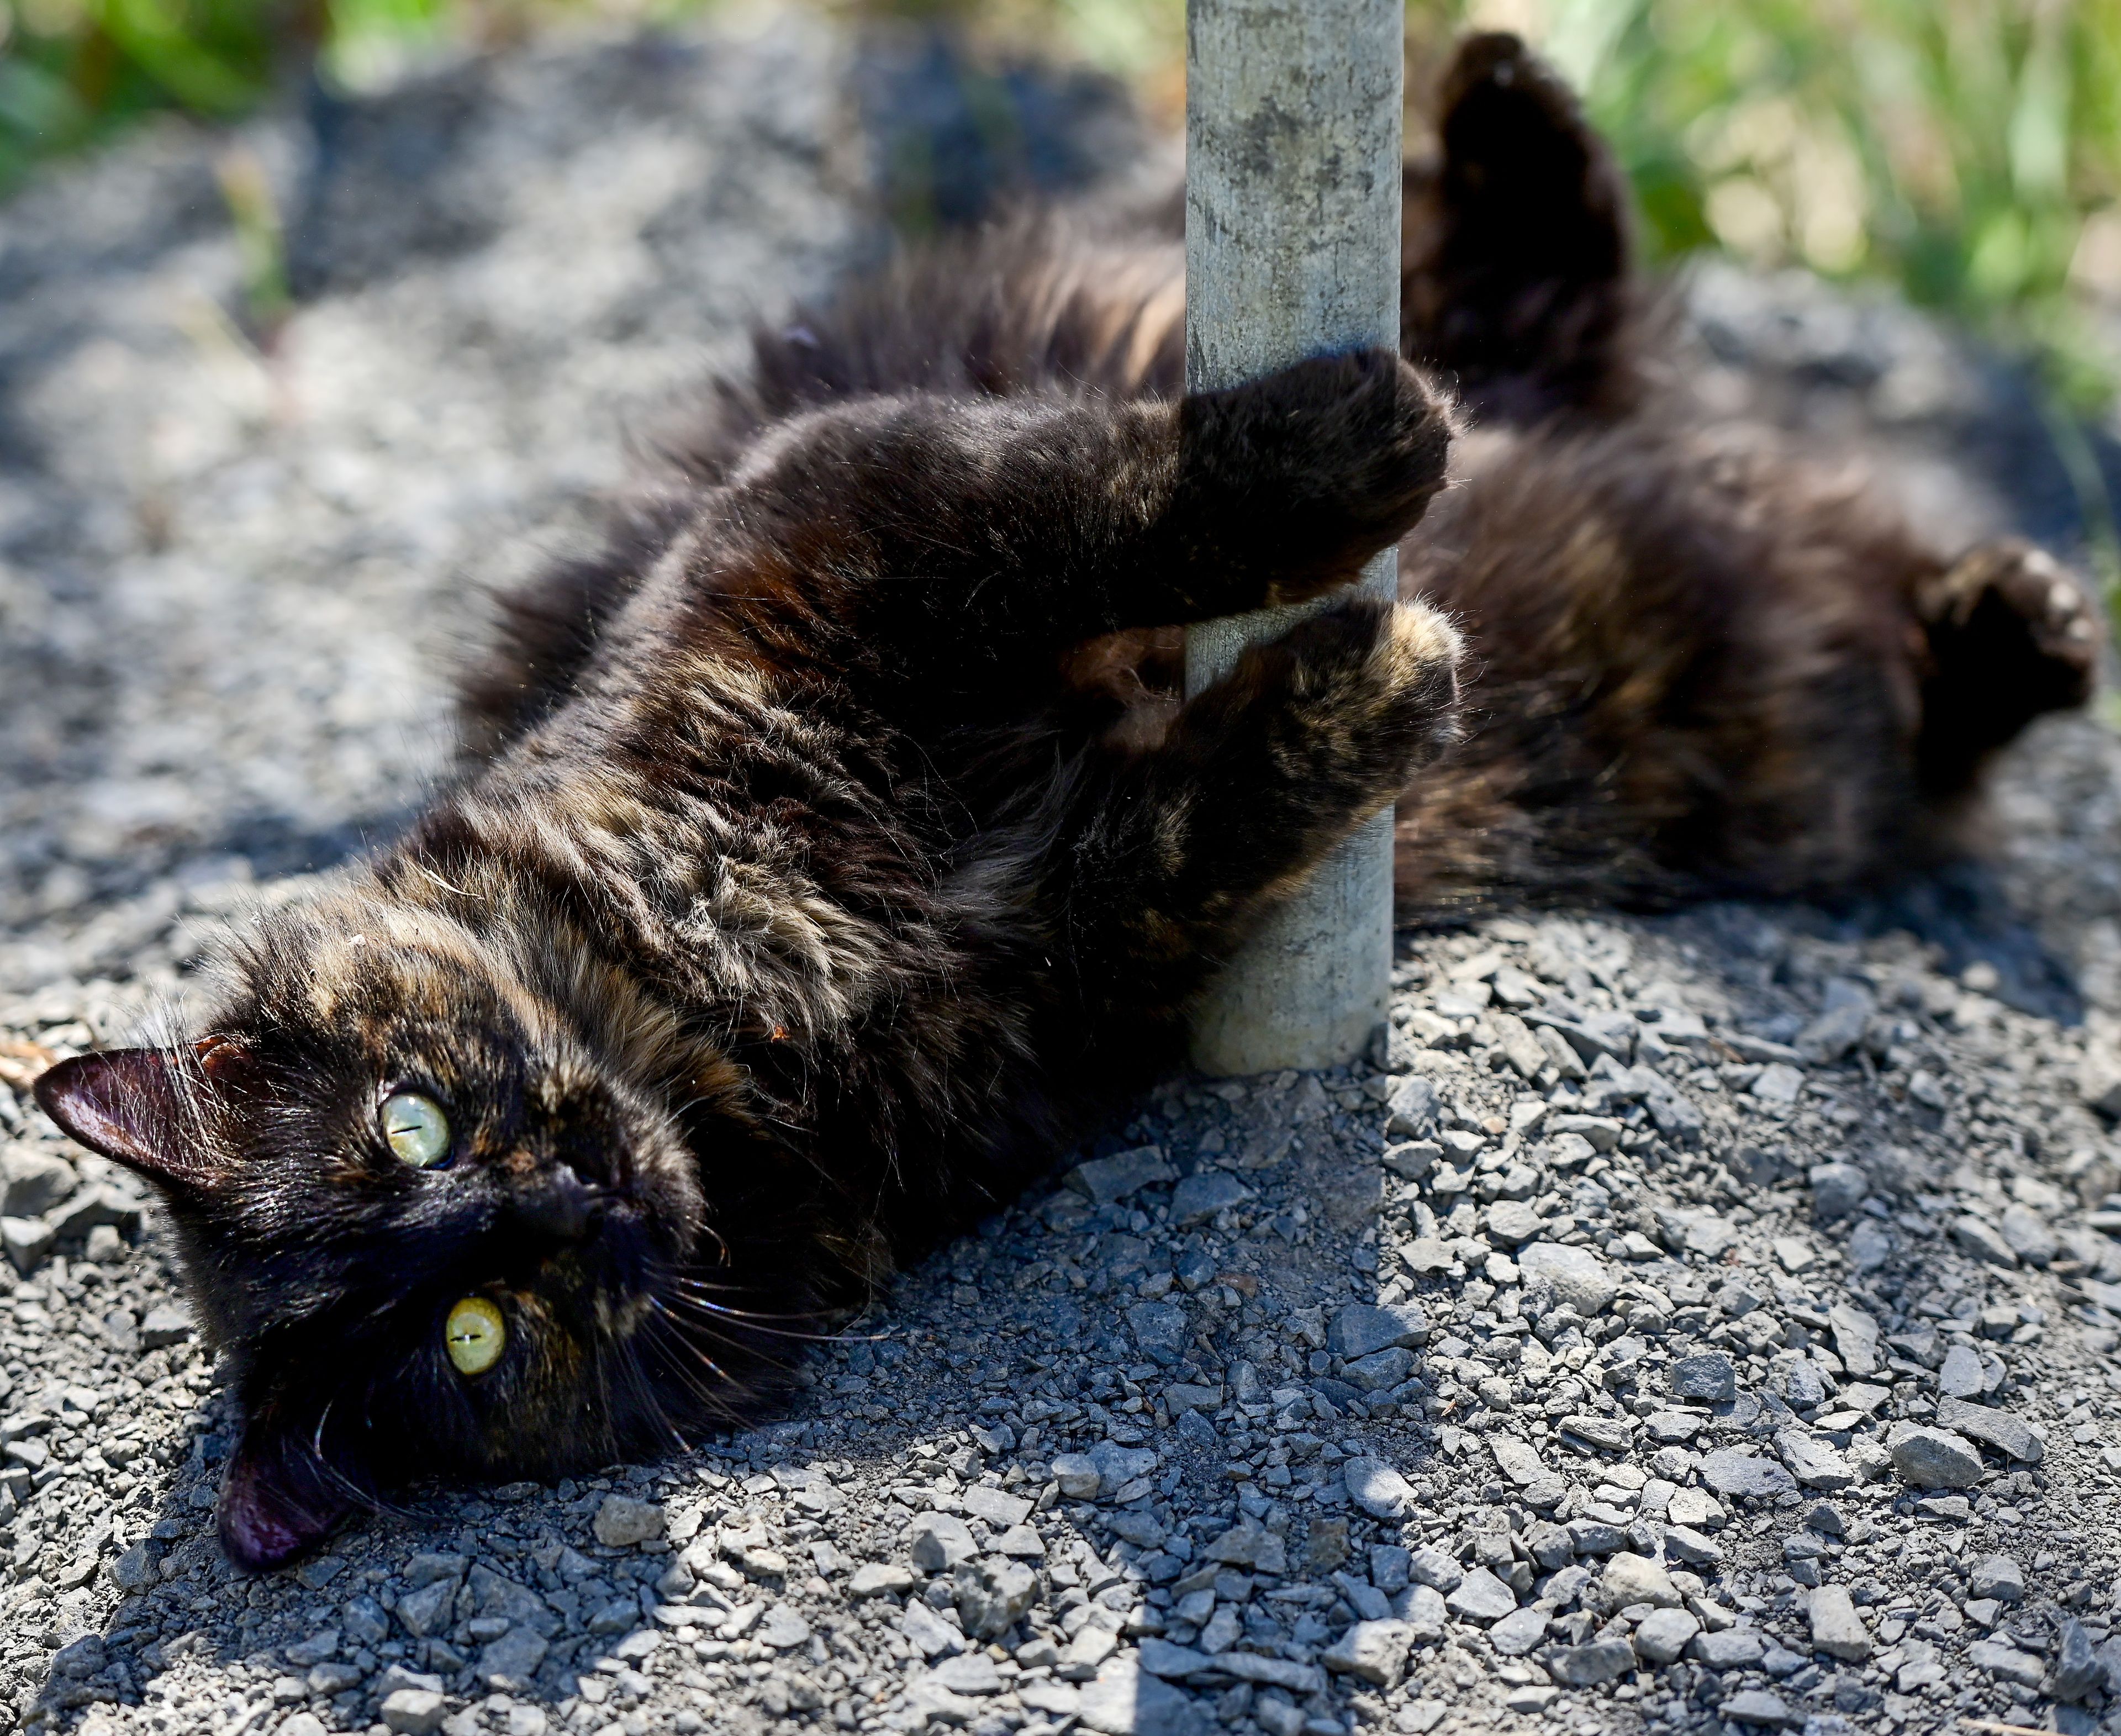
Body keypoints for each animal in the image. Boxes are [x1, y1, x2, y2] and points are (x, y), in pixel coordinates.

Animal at [37, 37, 2104, 1570]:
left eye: (410, 1120)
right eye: (477, 1341)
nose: (555, 1195)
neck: (731, 989)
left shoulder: (833, 517)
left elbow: (1088, 494)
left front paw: (1350, 448)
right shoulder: (1066, 989)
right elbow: (1202, 816)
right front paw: (1362, 683)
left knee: (1541, 281)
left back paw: (1511, 118)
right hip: (1748, 730)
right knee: (1888, 689)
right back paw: (2018, 629)